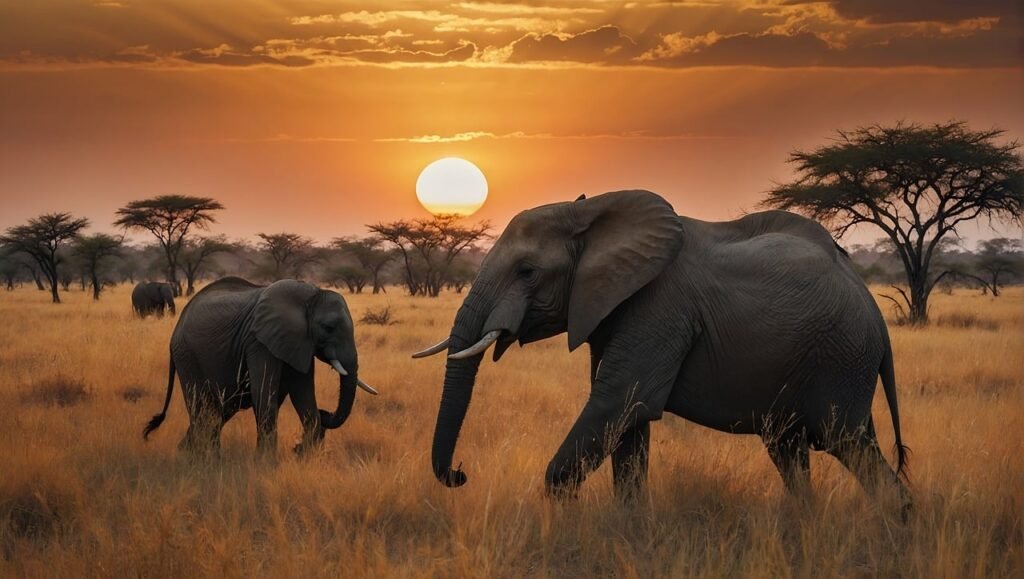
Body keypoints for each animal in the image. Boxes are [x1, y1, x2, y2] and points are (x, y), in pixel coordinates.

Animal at [142, 277, 378, 457]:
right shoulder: (258, 342)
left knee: (217, 411)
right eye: (329, 328)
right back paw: (202, 458)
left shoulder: (298, 342)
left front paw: (303, 455)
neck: (310, 295)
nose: (326, 412)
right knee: (202, 408)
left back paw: (192, 454)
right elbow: (265, 393)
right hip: (187, 356)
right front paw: (266, 464)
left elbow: (302, 392)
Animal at [414, 190, 910, 511]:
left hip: (841, 356)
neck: (590, 213)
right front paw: (630, 528)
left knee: (844, 442)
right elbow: (627, 427)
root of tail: (871, 304)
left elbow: (618, 404)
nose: (461, 473)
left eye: (527, 271)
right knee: (791, 449)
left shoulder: (660, 307)